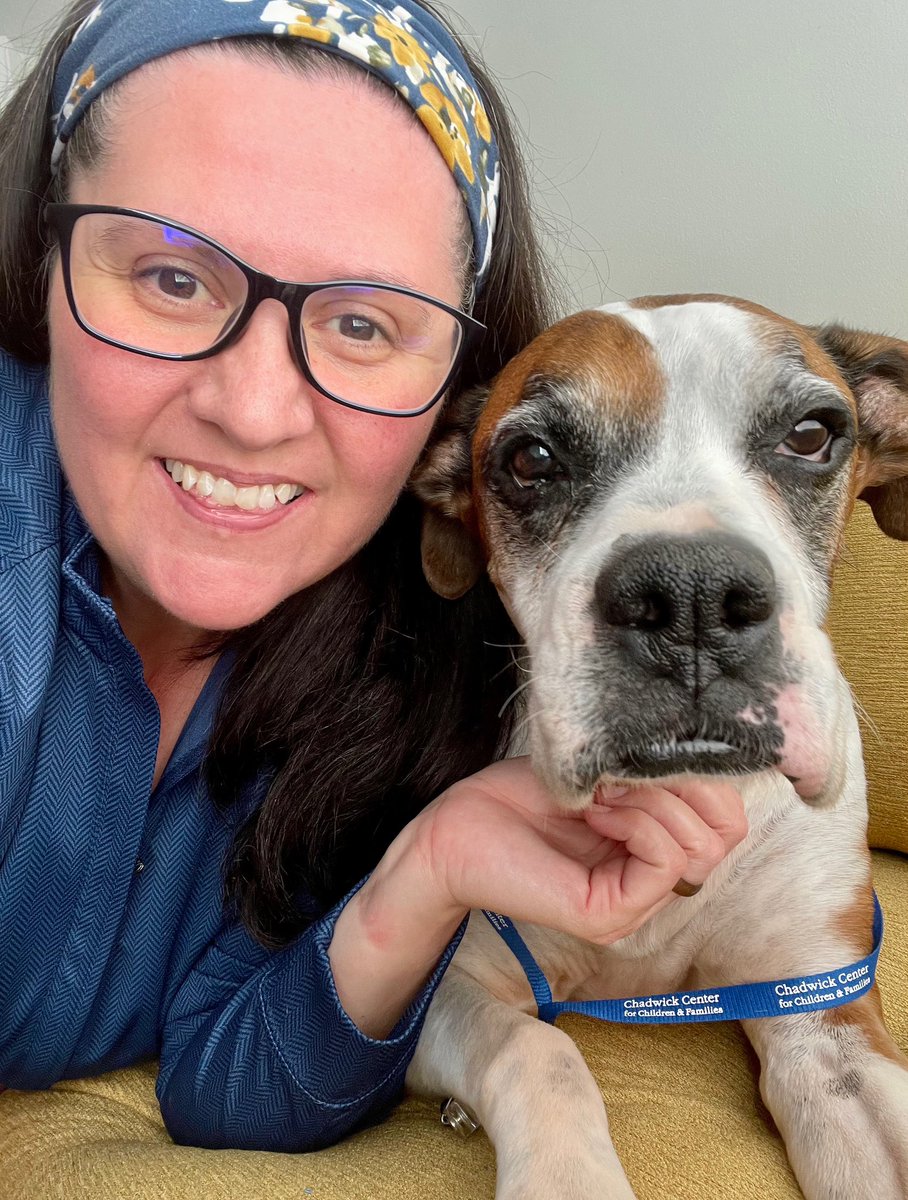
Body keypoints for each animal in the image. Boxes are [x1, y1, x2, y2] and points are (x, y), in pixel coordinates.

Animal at [405, 292, 906, 1200]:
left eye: (811, 434)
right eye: (532, 458)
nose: (691, 592)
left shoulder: (825, 1018)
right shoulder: (449, 985)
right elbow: (541, 1048)